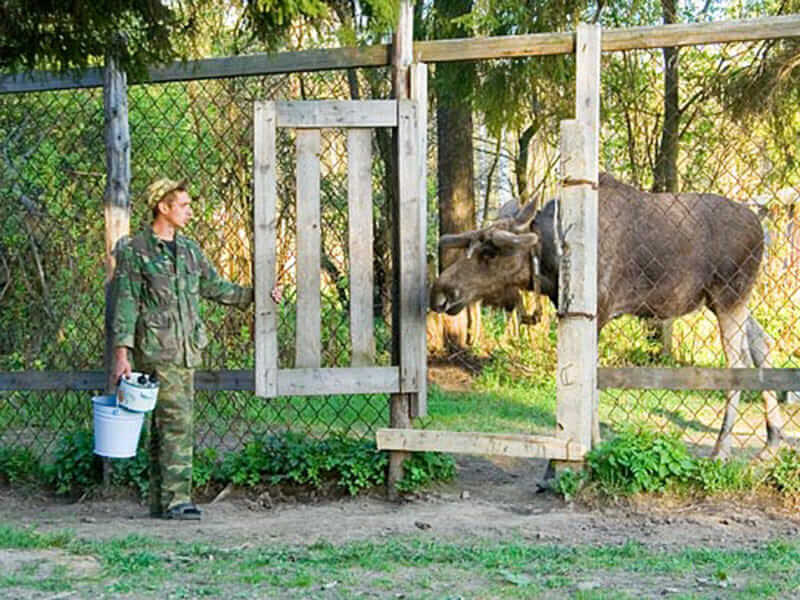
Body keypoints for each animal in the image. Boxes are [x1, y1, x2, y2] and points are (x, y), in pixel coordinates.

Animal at [432, 173, 788, 460]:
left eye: (490, 252)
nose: (440, 291)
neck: (552, 261)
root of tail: (762, 228)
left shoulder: (598, 312)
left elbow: (590, 383)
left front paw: (592, 446)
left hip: (730, 295)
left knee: (738, 361)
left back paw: (722, 449)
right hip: (724, 300)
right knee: (762, 343)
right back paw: (772, 441)